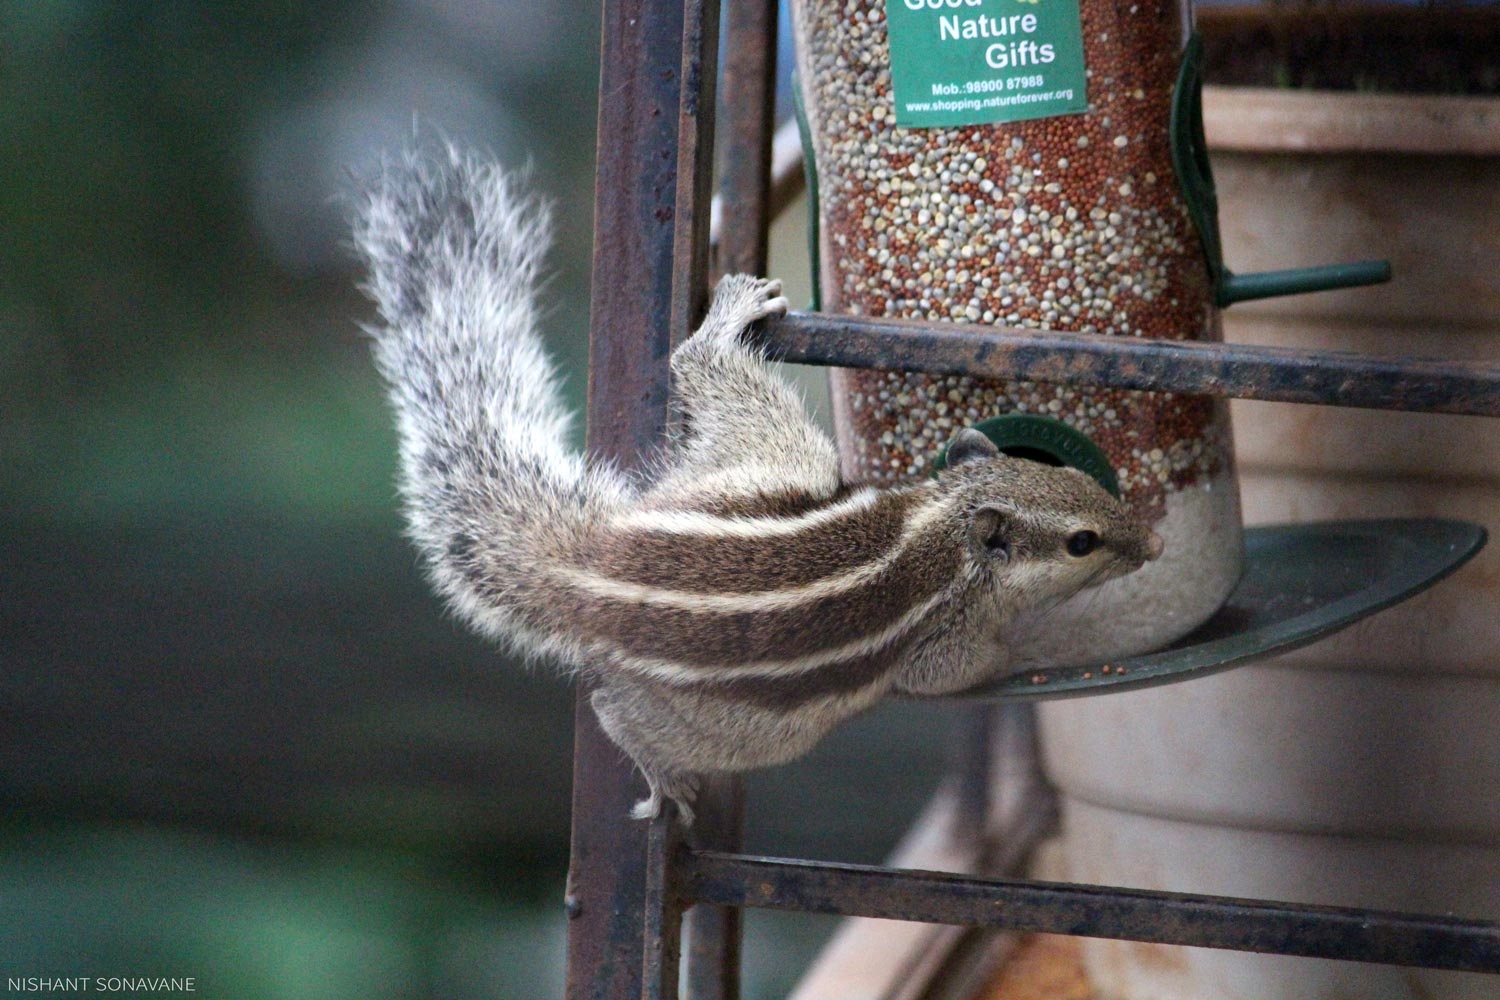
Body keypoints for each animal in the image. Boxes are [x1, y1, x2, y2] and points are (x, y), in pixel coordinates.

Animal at [353, 147, 1163, 824]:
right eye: (1082, 542)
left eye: (1067, 474)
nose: (1151, 545)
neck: (939, 530)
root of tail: (590, 565)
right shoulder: (942, 645)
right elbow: (961, 671)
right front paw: (1026, 649)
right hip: (738, 715)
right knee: (620, 714)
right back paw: (662, 782)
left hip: (769, 463)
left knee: (703, 370)